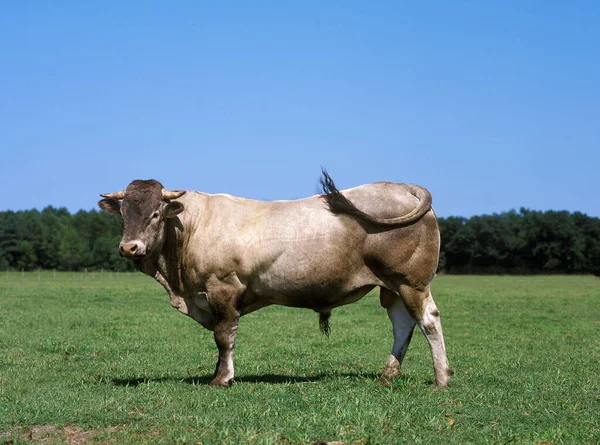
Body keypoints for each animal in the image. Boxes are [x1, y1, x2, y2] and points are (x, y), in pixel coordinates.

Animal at [101, 172, 452, 386]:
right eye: (123, 214)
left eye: (156, 214)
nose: (129, 247)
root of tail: (400, 185)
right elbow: (219, 335)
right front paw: (217, 373)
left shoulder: (222, 287)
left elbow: (223, 336)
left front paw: (222, 379)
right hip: (392, 287)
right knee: (403, 326)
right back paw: (388, 376)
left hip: (411, 282)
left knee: (429, 321)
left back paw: (441, 379)